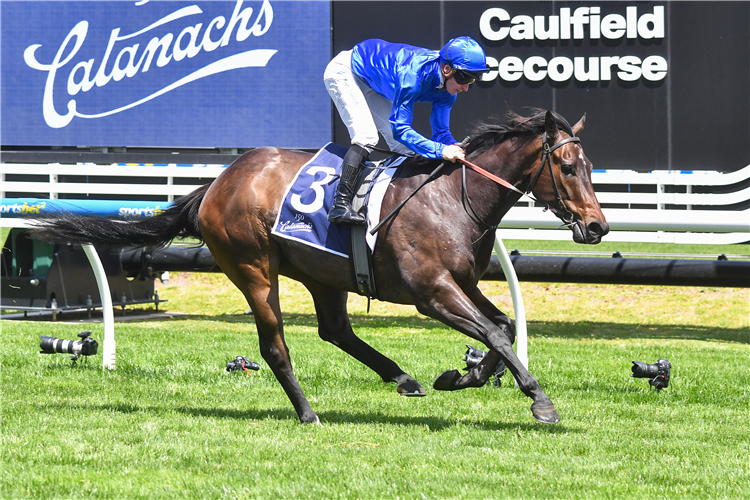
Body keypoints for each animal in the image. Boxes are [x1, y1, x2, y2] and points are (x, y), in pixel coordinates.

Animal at [33, 110, 612, 426]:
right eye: (566, 167)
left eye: (588, 166)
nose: (598, 226)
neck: (453, 198)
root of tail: (217, 182)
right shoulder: (432, 292)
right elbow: (492, 331)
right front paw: (540, 402)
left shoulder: (462, 281)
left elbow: (503, 326)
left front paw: (461, 376)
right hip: (253, 268)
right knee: (275, 345)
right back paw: (307, 411)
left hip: (324, 273)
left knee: (335, 329)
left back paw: (403, 378)